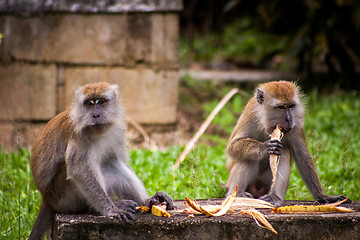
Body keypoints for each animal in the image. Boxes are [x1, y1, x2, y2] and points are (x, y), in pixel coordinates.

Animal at [28, 82, 174, 240]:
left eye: (101, 102)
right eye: (89, 103)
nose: (96, 115)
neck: (98, 131)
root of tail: (46, 198)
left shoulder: (116, 132)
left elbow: (118, 160)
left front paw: (148, 199)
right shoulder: (79, 137)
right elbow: (79, 170)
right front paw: (111, 210)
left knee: (112, 163)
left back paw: (147, 201)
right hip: (62, 197)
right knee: (71, 168)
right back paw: (98, 208)